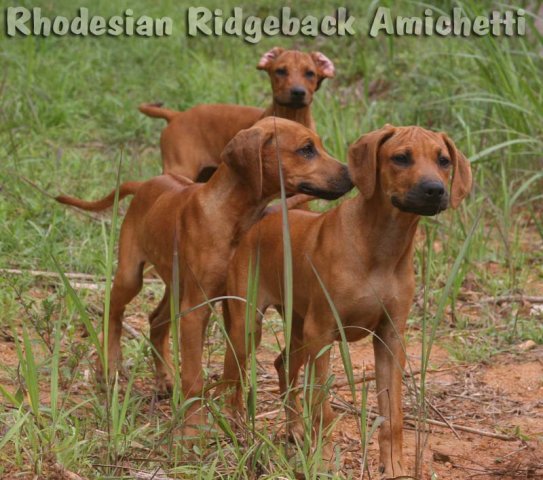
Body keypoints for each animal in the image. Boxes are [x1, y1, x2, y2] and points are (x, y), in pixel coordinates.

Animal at [55, 118, 352, 440]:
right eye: (306, 149)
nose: (351, 175)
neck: (233, 215)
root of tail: (147, 183)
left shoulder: (234, 307)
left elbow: (235, 367)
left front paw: (232, 417)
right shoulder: (196, 310)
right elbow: (195, 377)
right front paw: (194, 428)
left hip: (176, 286)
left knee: (157, 322)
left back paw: (164, 379)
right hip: (132, 275)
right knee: (114, 311)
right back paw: (108, 366)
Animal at [139, 47, 336, 181]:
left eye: (310, 73)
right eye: (280, 71)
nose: (297, 92)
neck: (291, 117)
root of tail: (176, 115)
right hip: (179, 169)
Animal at [220, 125, 472, 478]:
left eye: (444, 160)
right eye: (401, 158)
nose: (434, 190)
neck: (381, 246)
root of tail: (265, 218)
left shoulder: (389, 337)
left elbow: (393, 415)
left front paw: (393, 465)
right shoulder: (322, 333)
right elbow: (323, 409)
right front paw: (325, 462)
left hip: (299, 327)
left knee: (283, 365)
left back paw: (295, 429)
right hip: (250, 325)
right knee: (232, 377)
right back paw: (235, 429)